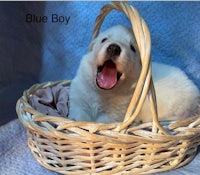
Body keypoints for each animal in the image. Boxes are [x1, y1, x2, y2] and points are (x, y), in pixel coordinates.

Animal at [68, 25, 198, 123]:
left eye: (132, 48)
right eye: (104, 39)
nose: (114, 48)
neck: (102, 92)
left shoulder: (115, 114)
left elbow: (102, 122)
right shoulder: (78, 102)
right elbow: (79, 117)